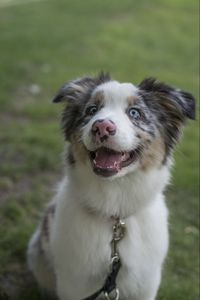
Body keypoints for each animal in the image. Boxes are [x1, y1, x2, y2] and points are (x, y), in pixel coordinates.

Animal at [27, 73, 195, 300]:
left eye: (134, 113)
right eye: (91, 110)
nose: (101, 127)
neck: (115, 207)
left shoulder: (146, 283)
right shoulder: (74, 282)